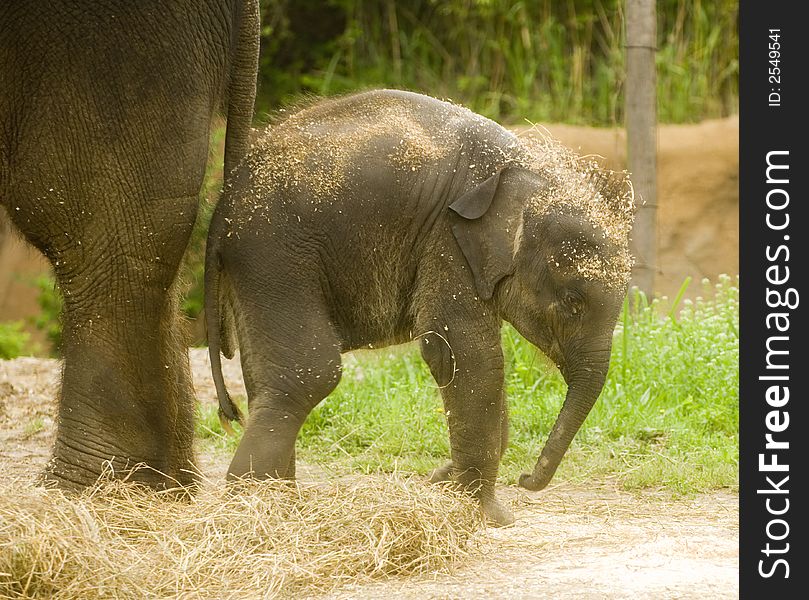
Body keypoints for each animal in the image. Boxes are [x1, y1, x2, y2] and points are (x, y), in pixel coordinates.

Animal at [205, 89, 636, 524]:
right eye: (572, 303)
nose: (526, 477)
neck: (527, 171)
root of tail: (223, 201)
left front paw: (446, 484)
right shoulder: (448, 241)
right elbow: (469, 356)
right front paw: (486, 514)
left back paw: (280, 501)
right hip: (275, 254)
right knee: (308, 373)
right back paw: (258, 506)